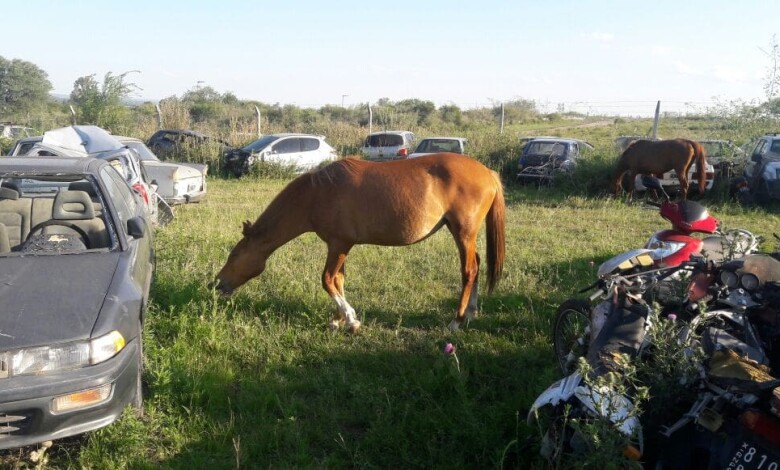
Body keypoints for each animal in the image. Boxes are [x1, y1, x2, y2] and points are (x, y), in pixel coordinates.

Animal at [213, 153, 506, 333]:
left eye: (234, 256)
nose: (215, 284)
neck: (316, 193)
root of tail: (488, 172)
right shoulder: (340, 247)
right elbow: (338, 280)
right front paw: (338, 320)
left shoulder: (339, 244)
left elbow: (327, 280)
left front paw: (350, 320)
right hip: (463, 235)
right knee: (476, 266)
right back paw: (470, 313)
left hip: (463, 232)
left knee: (469, 271)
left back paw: (457, 320)